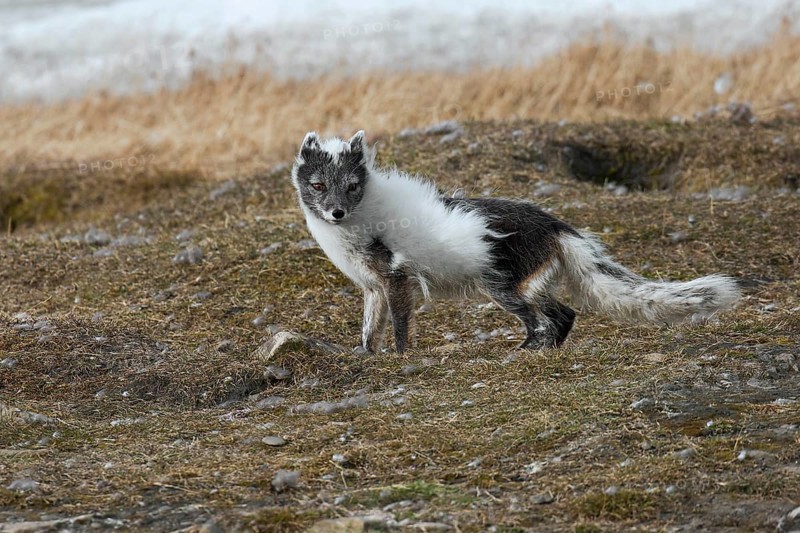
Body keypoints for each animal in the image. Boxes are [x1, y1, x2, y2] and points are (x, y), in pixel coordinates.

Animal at [291, 130, 741, 354]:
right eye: (318, 185)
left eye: (351, 186)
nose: (336, 212)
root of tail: (556, 224)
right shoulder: (372, 287)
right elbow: (370, 329)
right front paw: (366, 356)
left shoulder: (396, 278)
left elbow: (400, 325)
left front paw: (400, 357)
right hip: (530, 283)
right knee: (563, 314)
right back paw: (544, 350)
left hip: (502, 286)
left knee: (540, 318)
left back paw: (525, 348)